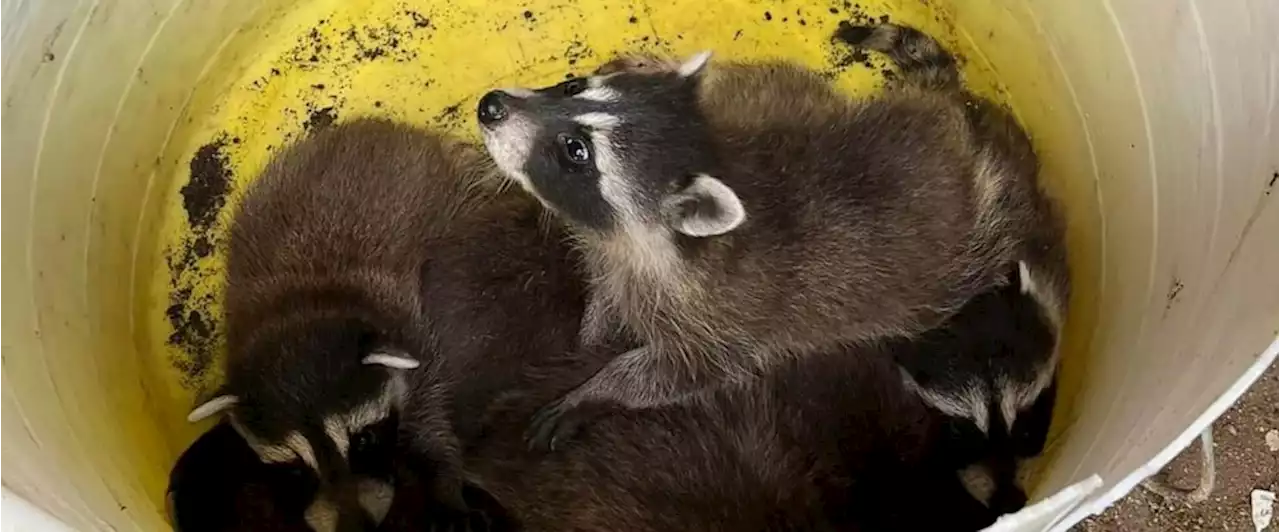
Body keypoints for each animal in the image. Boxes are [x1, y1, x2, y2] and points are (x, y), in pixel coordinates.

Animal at [179, 118, 524, 529]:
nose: (355, 526)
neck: (300, 307)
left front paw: (443, 485)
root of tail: (380, 128)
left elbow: (429, 420)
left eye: (362, 441)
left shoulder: (416, 334)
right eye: (294, 469)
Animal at [476, 22, 1064, 450]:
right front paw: (592, 335)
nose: (490, 105)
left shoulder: (723, 323)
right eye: (573, 86)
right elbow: (606, 299)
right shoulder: (616, 258)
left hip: (976, 247)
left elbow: (675, 374)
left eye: (576, 150)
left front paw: (601, 388)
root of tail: (948, 115)